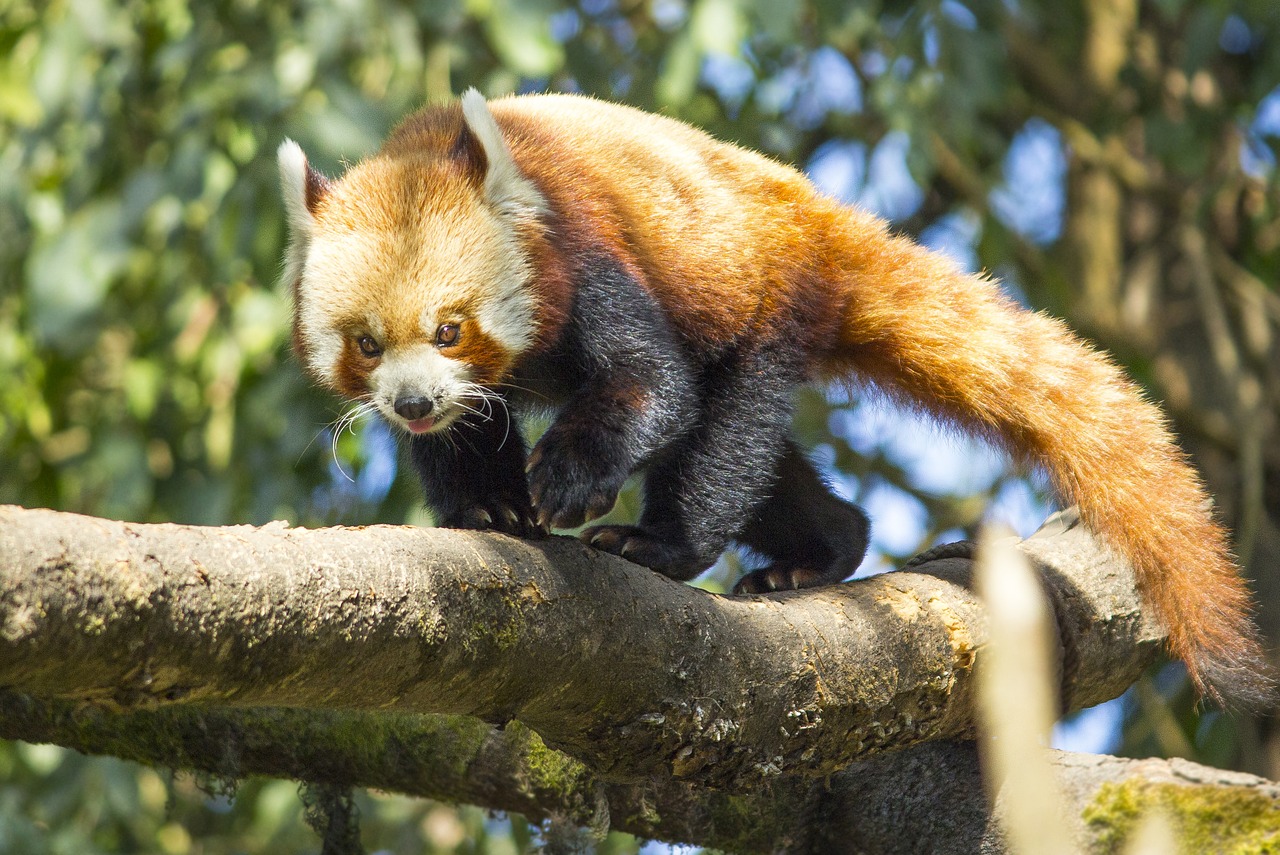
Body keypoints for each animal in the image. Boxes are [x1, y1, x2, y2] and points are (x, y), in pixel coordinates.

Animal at [277, 88, 1269, 706]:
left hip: (763, 298)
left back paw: (664, 544)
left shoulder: (591, 248)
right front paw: (490, 507)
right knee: (764, 468)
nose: (410, 402)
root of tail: (811, 213)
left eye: (450, 328)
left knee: (724, 437)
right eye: (368, 344)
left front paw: (566, 478)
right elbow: (468, 437)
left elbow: (654, 387)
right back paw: (826, 547)